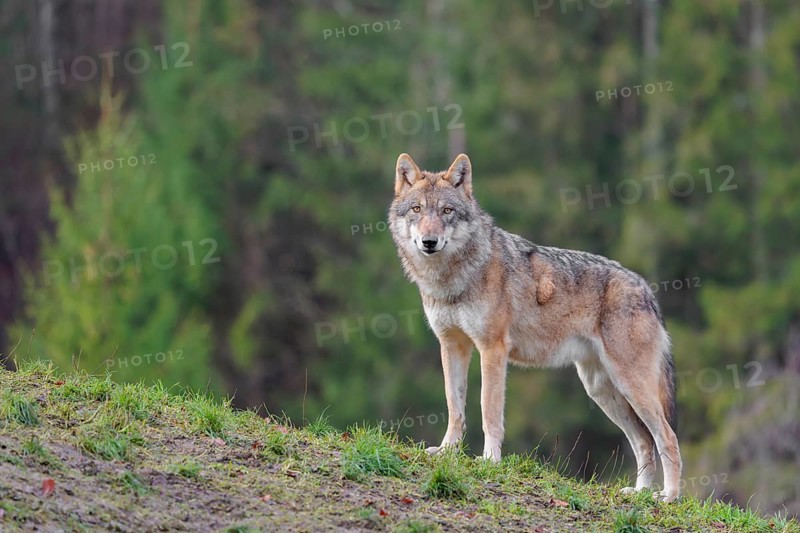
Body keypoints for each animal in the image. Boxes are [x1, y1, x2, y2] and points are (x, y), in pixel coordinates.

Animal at [388, 153, 682, 501]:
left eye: (447, 211)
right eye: (417, 209)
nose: (429, 242)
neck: (452, 279)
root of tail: (646, 289)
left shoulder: (492, 348)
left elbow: (488, 410)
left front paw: (490, 460)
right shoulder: (451, 345)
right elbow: (454, 405)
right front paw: (448, 452)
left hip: (630, 385)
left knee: (667, 437)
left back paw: (669, 497)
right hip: (602, 389)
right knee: (644, 442)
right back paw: (639, 494)